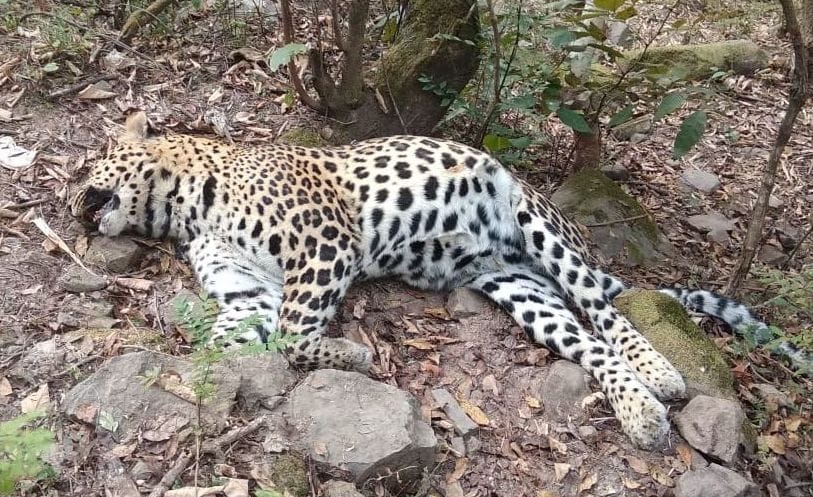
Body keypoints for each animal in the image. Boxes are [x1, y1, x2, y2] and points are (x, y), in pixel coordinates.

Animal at [70, 111, 784, 449]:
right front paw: (196, 377)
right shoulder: (251, 289)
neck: (188, 205)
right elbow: (234, 338)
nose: (69, 200)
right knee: (588, 343)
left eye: (94, 160)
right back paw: (639, 410)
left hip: (538, 222)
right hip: (521, 291)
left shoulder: (327, 242)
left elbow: (298, 332)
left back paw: (660, 374)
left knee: (606, 309)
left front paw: (350, 355)